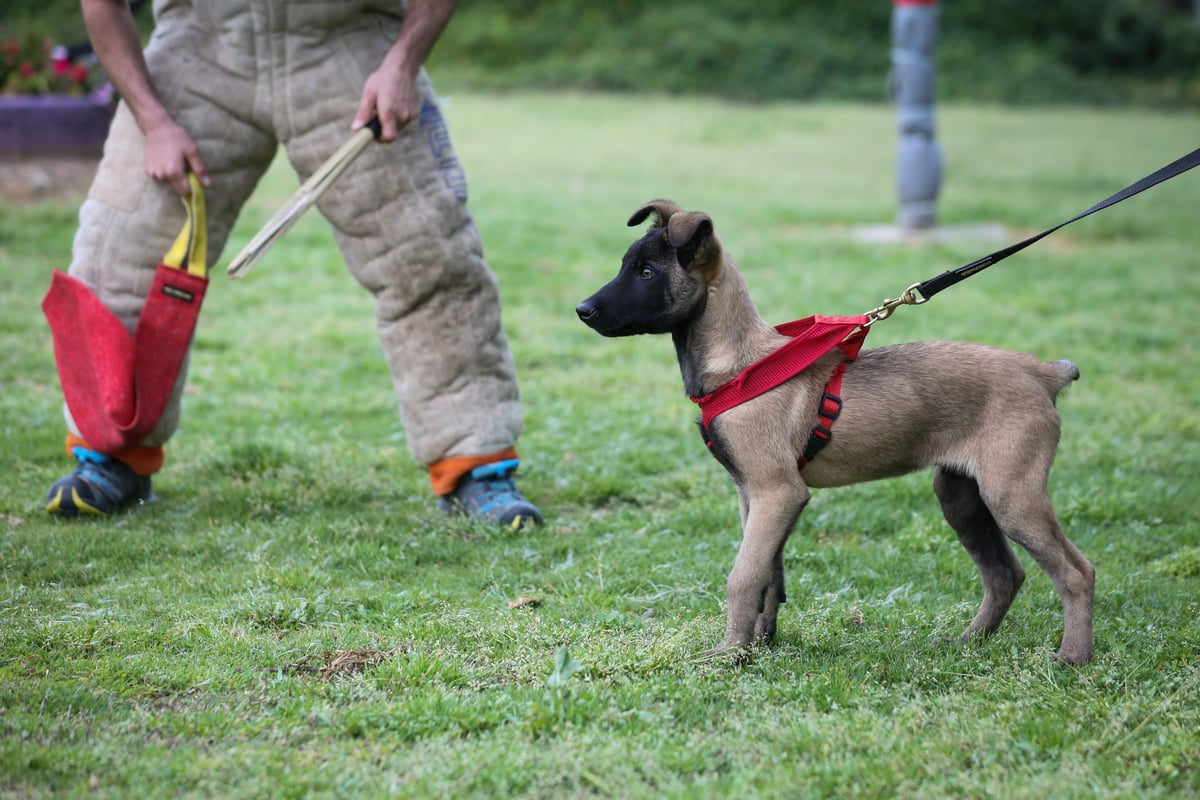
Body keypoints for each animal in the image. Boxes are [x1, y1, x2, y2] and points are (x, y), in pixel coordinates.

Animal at [576, 200, 1094, 662]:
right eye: (627, 266)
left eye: (646, 273)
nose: (582, 309)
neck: (741, 365)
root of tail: (1042, 372)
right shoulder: (753, 494)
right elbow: (768, 575)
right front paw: (759, 645)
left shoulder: (777, 492)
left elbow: (742, 575)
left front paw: (728, 655)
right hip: (961, 497)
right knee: (1005, 574)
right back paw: (968, 643)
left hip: (1012, 495)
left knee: (1077, 572)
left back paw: (1073, 656)